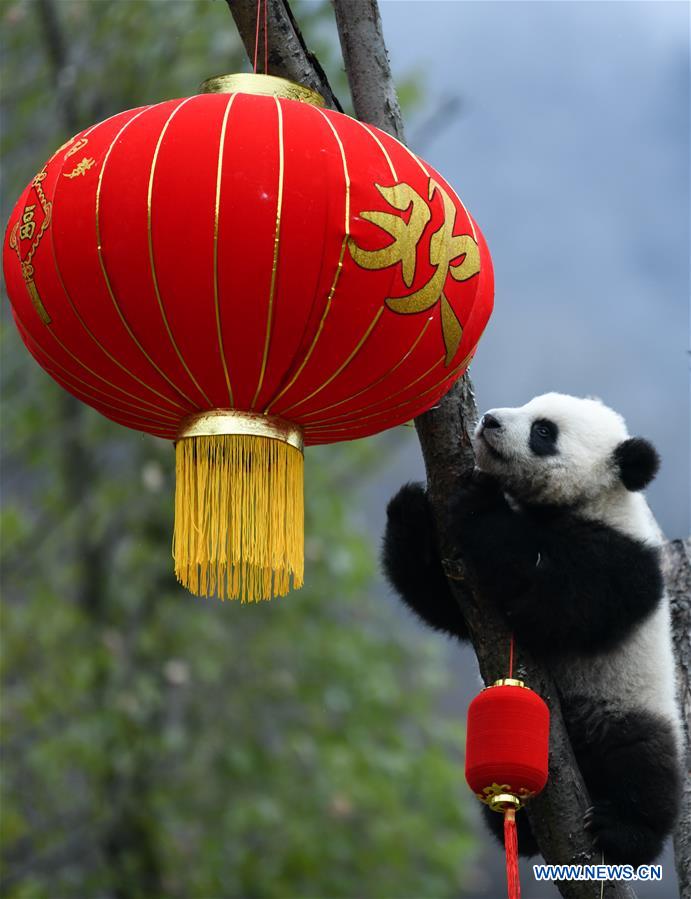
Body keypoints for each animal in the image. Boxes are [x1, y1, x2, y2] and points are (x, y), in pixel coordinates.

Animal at [382, 392, 681, 868]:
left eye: (544, 430)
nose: (488, 420)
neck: (594, 502)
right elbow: (447, 605)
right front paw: (411, 507)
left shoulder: (624, 561)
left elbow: (556, 599)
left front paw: (481, 502)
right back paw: (520, 828)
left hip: (628, 706)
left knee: (644, 765)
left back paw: (621, 830)